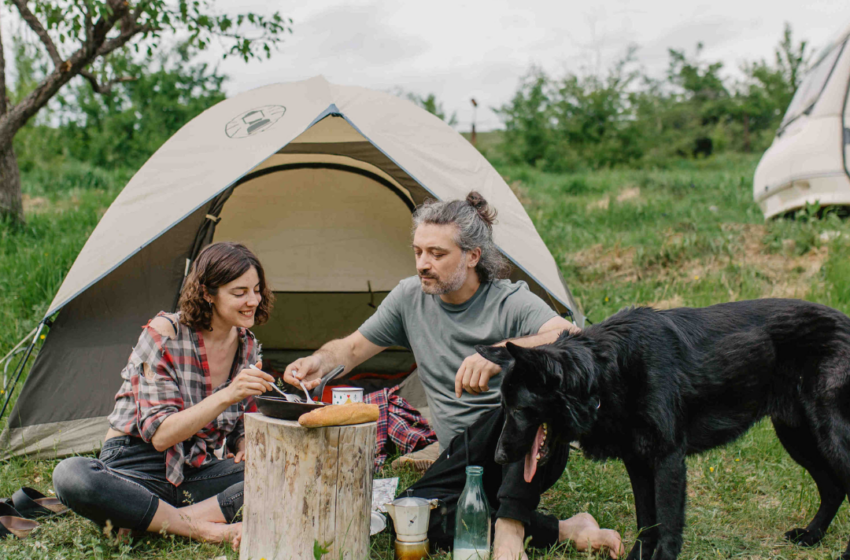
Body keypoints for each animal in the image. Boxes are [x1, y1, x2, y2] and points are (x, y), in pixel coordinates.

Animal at [476, 300, 848, 560]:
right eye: (504, 407)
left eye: (519, 410)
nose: (498, 457)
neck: (606, 372)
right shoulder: (638, 463)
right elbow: (646, 523)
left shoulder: (668, 460)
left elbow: (667, 527)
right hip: (798, 438)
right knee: (833, 489)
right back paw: (812, 536)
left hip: (827, 437)